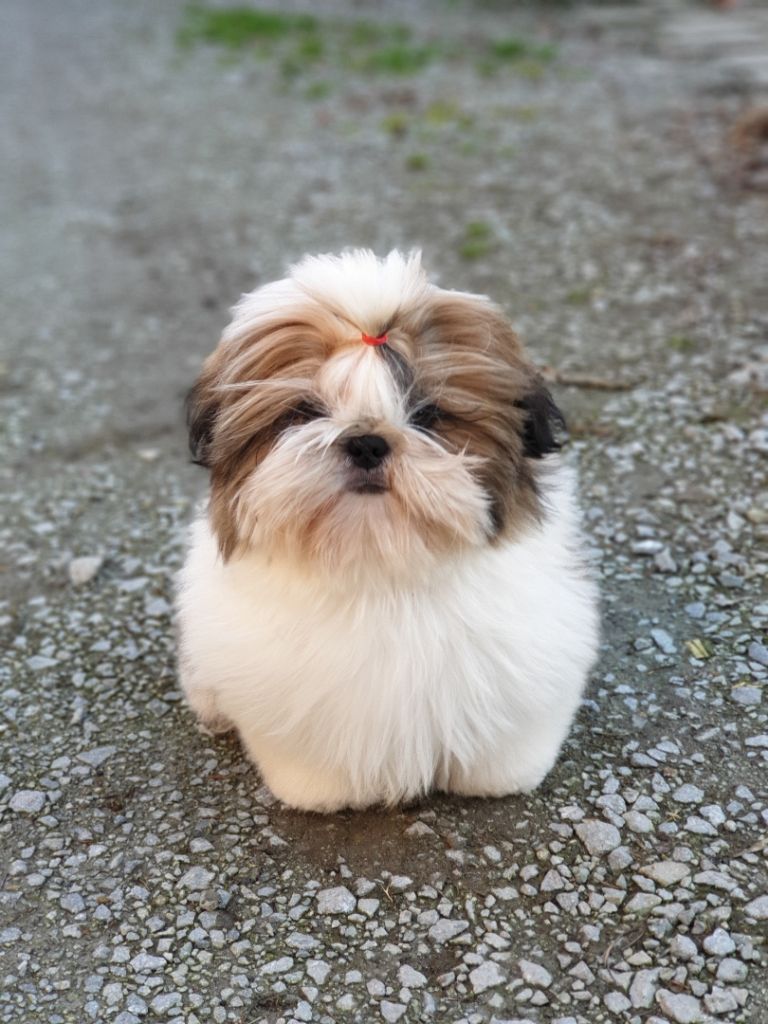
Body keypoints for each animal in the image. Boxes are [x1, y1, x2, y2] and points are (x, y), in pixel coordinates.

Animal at [176, 245, 602, 806]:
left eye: (427, 414)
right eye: (304, 412)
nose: (366, 442)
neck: (381, 566)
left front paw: (502, 777)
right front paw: (318, 790)